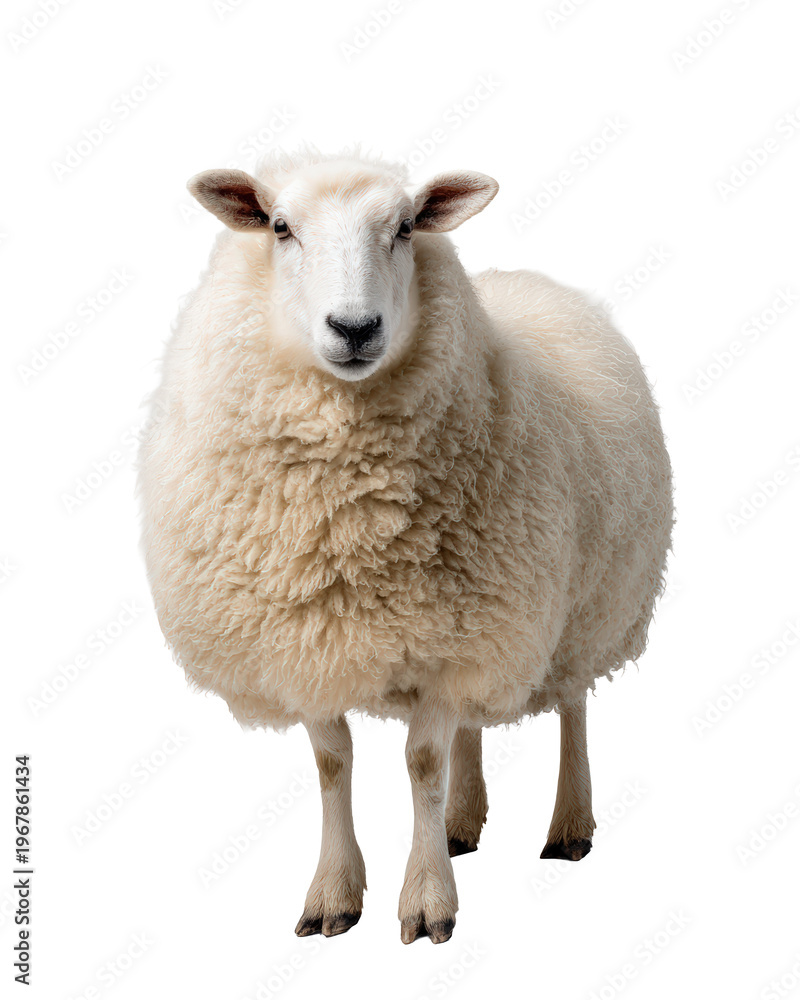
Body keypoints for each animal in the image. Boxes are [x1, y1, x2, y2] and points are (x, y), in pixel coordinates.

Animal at [138, 146, 673, 945]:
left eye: (406, 228)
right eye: (280, 227)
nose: (355, 327)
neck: (347, 523)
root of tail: (531, 280)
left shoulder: (456, 643)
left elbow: (422, 761)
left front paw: (427, 901)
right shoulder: (313, 641)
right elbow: (334, 763)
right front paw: (333, 894)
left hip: (578, 607)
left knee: (573, 705)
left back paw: (568, 826)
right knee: (474, 728)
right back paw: (461, 822)